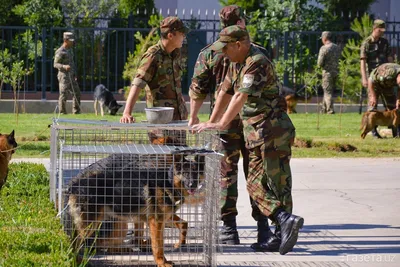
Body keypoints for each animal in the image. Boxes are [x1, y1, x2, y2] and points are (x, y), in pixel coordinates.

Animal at [67, 153, 205, 267]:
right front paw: (161, 263)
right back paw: (76, 261)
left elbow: (159, 242)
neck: (169, 182)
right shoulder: (156, 223)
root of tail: (74, 184)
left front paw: (163, 260)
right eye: (185, 173)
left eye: (195, 173)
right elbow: (157, 246)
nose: (192, 185)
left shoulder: (158, 223)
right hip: (94, 224)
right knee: (75, 243)